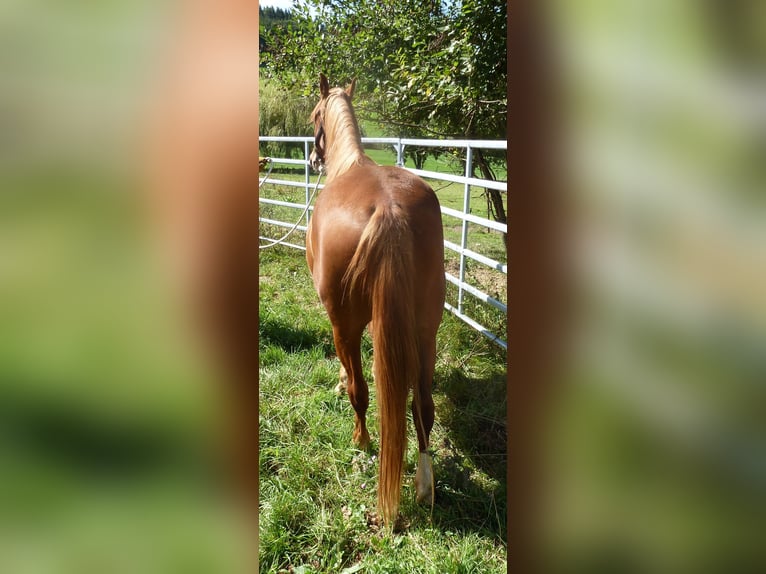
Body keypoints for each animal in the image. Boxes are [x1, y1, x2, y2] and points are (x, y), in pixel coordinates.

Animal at [305, 74, 446, 526]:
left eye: (314, 115)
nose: (312, 159)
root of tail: (388, 207)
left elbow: (353, 377)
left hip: (345, 324)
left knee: (361, 391)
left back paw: (361, 439)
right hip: (425, 330)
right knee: (422, 405)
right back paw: (424, 484)